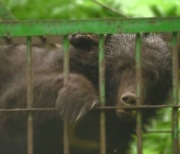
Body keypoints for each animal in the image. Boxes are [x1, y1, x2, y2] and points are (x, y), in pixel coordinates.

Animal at [0, 33, 172, 154]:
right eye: (122, 67)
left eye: (152, 76)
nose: (130, 99)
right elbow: (15, 102)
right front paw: (77, 99)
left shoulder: (113, 137)